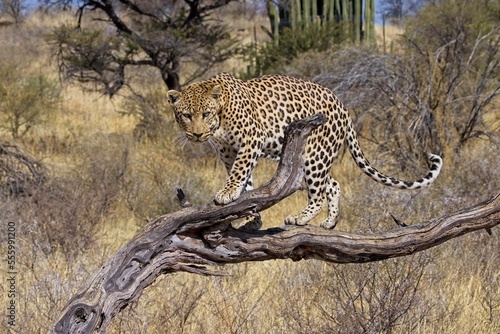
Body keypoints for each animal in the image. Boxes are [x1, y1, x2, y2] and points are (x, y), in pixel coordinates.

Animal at [167, 73, 442, 230]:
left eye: (205, 114)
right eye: (186, 116)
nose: (197, 134)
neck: (221, 118)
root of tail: (342, 105)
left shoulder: (250, 141)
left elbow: (239, 172)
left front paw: (228, 194)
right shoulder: (226, 151)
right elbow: (246, 180)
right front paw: (249, 216)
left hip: (316, 154)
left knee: (319, 193)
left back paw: (300, 218)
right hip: (319, 157)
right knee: (333, 185)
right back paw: (330, 222)